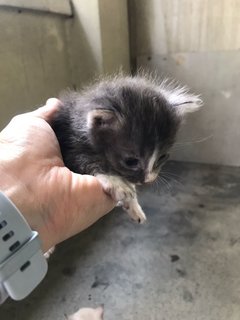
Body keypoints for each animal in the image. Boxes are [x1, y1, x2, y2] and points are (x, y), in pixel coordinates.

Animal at [51, 74, 202, 222]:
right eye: (131, 162)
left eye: (162, 157)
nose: (148, 180)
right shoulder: (68, 142)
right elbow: (84, 159)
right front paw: (115, 181)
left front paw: (134, 207)